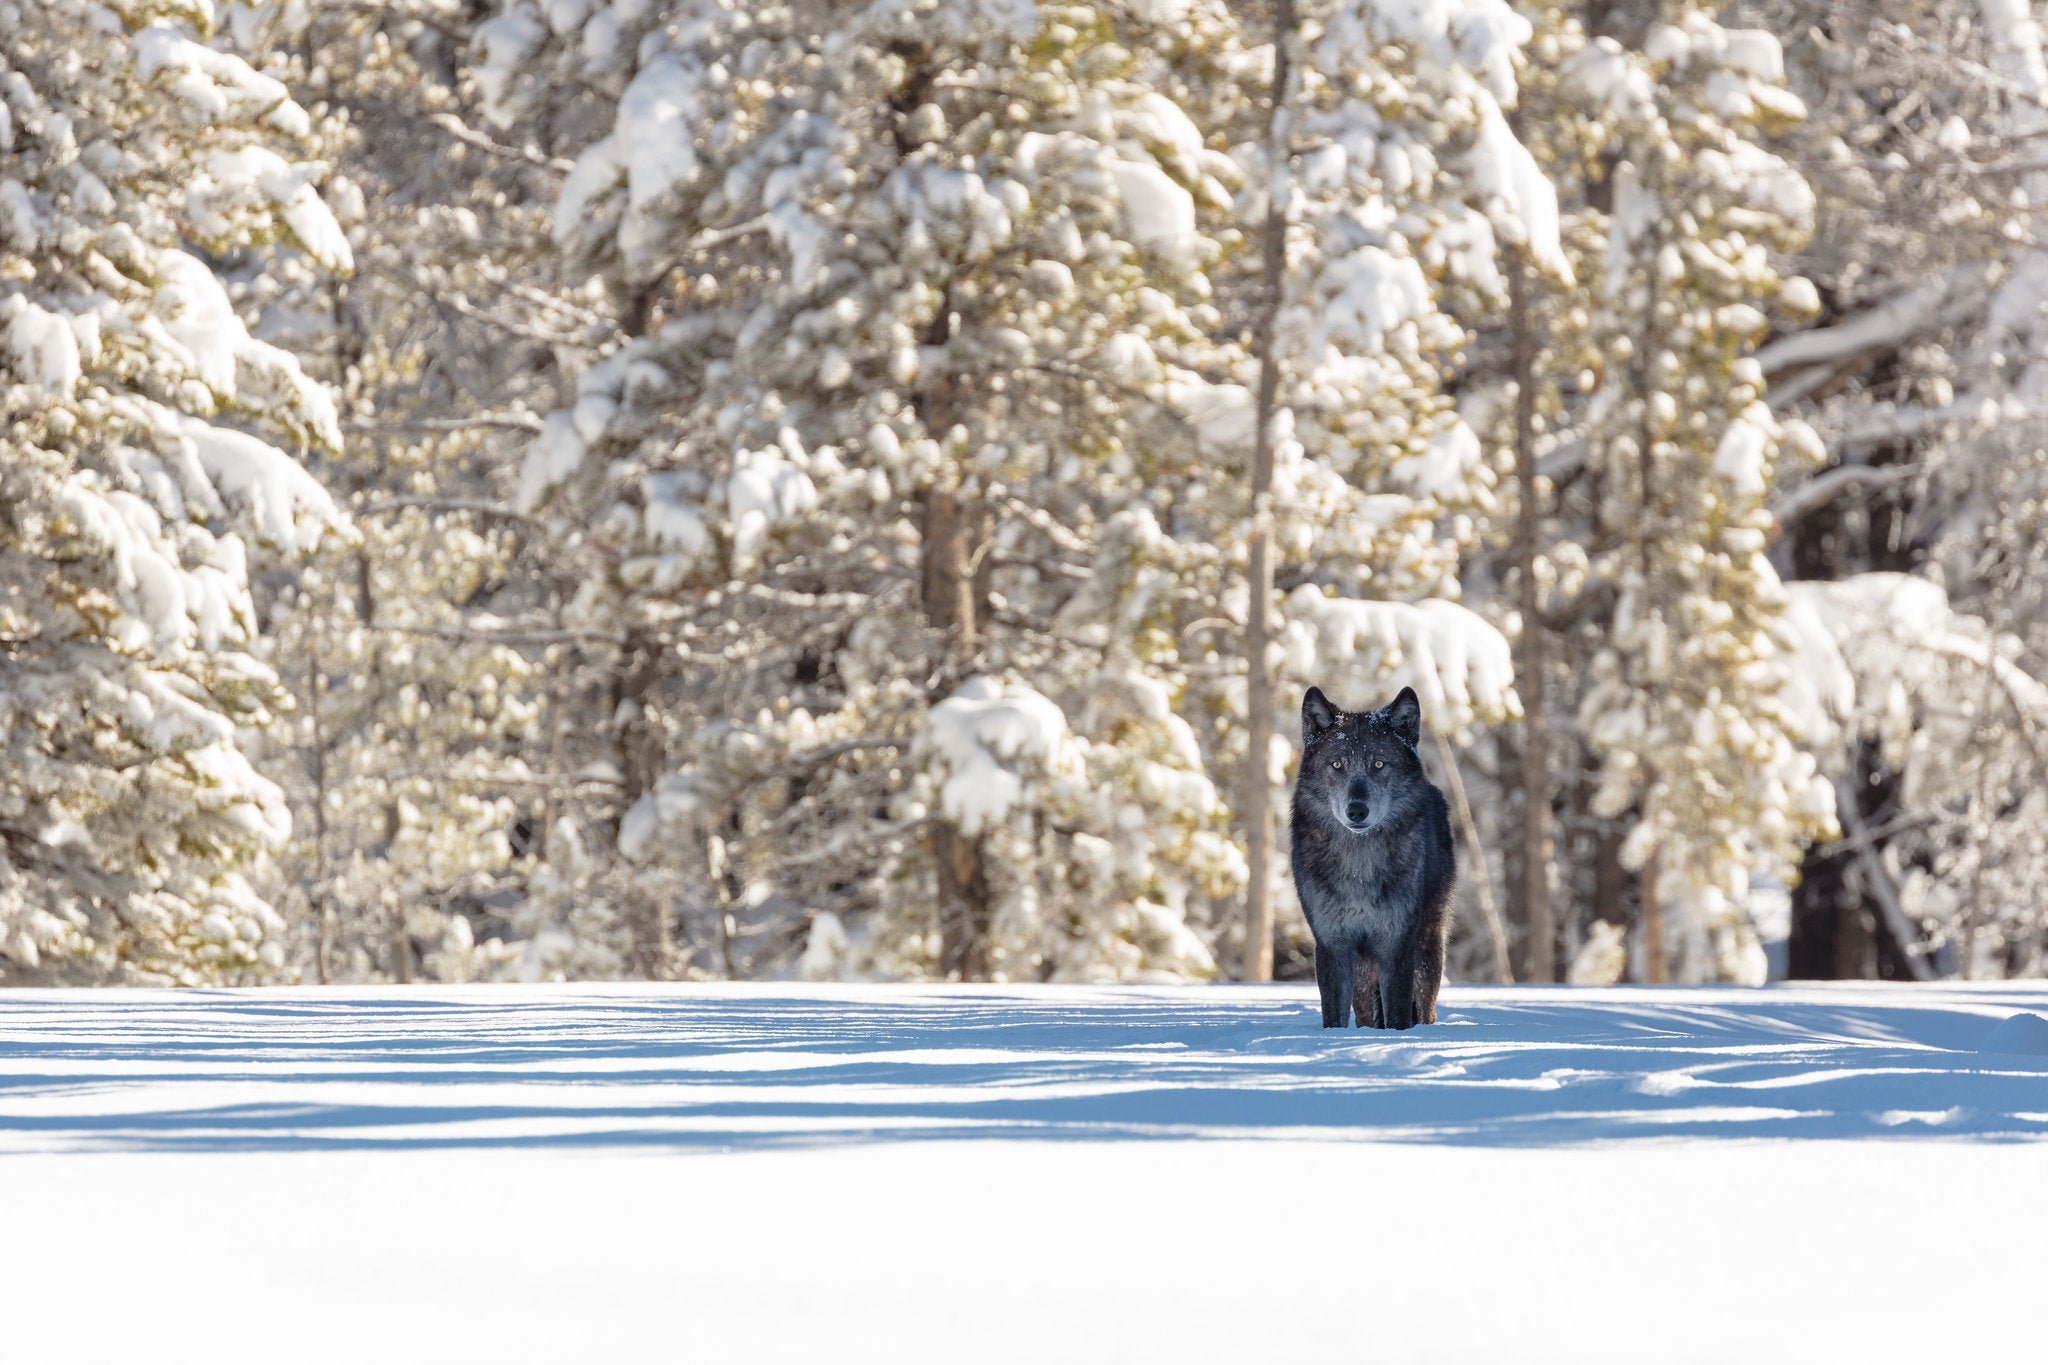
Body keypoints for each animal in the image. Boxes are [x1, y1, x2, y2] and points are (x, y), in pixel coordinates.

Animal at [1294, 687, 1458, 1031]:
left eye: (1379, 764)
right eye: (1337, 764)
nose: (1356, 810)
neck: (1359, 867)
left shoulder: (1396, 945)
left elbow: (1397, 1015)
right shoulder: (1333, 945)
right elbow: (1334, 1017)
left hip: (1427, 947)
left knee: (1425, 1007)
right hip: (1364, 968)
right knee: (1366, 1013)